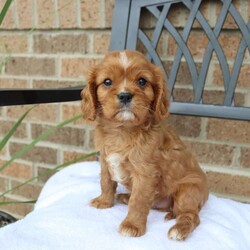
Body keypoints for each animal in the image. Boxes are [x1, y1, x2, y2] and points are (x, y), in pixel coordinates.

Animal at [81, 50, 208, 240]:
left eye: (142, 81)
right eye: (107, 82)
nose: (125, 95)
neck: (122, 130)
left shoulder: (145, 173)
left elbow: (139, 200)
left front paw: (132, 225)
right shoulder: (105, 159)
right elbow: (106, 181)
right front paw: (104, 201)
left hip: (188, 190)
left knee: (190, 215)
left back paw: (179, 229)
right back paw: (124, 196)